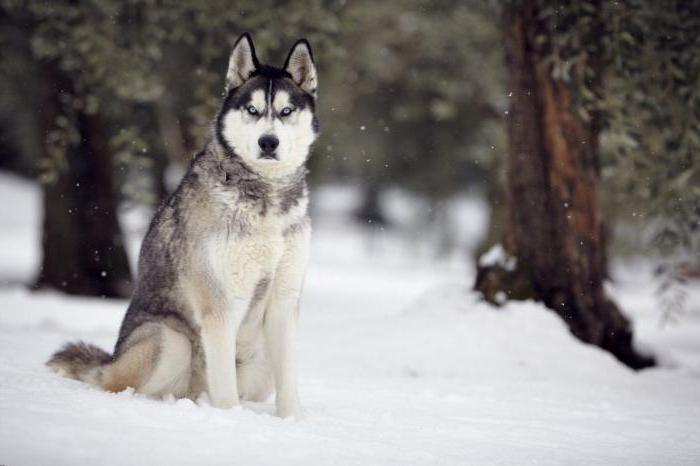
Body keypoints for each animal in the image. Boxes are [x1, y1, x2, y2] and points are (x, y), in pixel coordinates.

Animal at [45, 33, 316, 418]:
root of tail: (110, 361)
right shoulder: (219, 305)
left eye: (286, 111)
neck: (266, 197)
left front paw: (293, 422)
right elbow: (226, 392)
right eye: (251, 110)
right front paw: (231, 419)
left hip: (259, 363)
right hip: (170, 341)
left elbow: (289, 386)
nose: (268, 142)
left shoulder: (283, 299)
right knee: (121, 384)